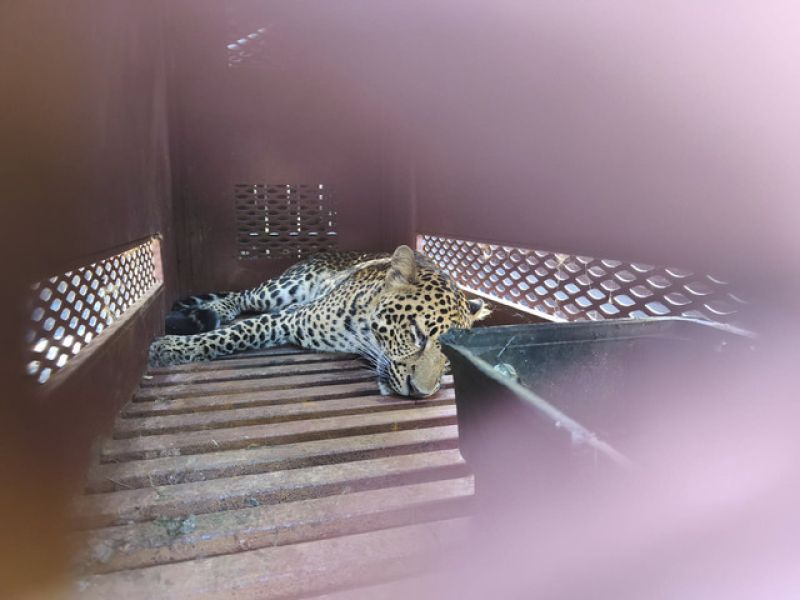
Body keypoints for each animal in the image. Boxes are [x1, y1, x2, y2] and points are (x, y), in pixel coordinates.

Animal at [148, 245, 491, 397]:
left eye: (450, 360)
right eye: (417, 334)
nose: (419, 392)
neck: (362, 337)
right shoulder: (290, 317)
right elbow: (242, 329)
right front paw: (174, 347)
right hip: (279, 291)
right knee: (242, 297)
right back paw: (211, 309)